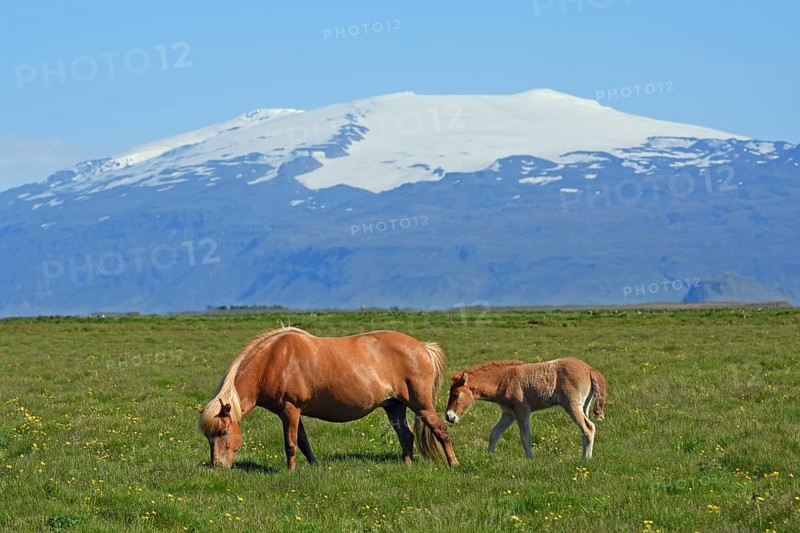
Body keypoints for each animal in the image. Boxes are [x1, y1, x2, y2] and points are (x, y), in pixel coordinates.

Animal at [198, 326, 458, 470]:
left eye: (223, 432)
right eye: (208, 436)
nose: (217, 466)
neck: (273, 360)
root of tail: (422, 347)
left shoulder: (290, 409)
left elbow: (291, 444)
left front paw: (290, 471)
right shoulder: (291, 412)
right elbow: (303, 442)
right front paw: (314, 465)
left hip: (421, 405)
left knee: (441, 430)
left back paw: (453, 464)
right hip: (394, 406)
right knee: (406, 435)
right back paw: (407, 464)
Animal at [445, 358, 606, 460]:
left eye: (456, 394)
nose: (449, 417)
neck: (505, 380)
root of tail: (590, 369)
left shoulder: (522, 410)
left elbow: (525, 437)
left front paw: (530, 461)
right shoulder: (508, 414)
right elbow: (494, 434)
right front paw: (489, 457)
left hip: (571, 405)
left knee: (588, 428)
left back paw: (585, 460)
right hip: (583, 407)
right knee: (586, 429)